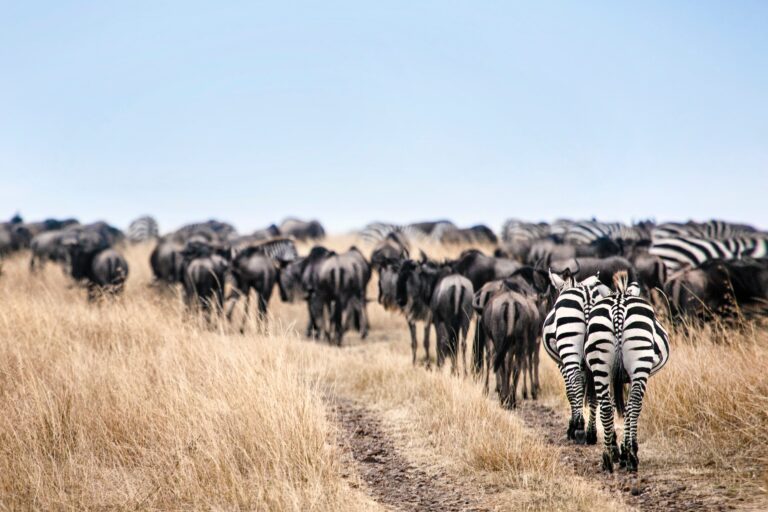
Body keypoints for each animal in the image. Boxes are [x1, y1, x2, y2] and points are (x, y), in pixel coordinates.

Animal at [540, 268, 612, 444]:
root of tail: (587, 296)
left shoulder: (561, 362)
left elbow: (570, 391)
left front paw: (572, 426)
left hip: (569, 346)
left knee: (577, 381)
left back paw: (578, 429)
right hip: (600, 347)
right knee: (596, 389)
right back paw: (591, 434)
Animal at [584, 270, 668, 474]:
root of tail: (619, 304)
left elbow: (618, 405)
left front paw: (619, 450)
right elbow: (629, 408)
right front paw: (627, 449)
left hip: (601, 361)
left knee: (606, 406)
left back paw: (608, 458)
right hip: (639, 361)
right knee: (635, 404)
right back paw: (630, 458)